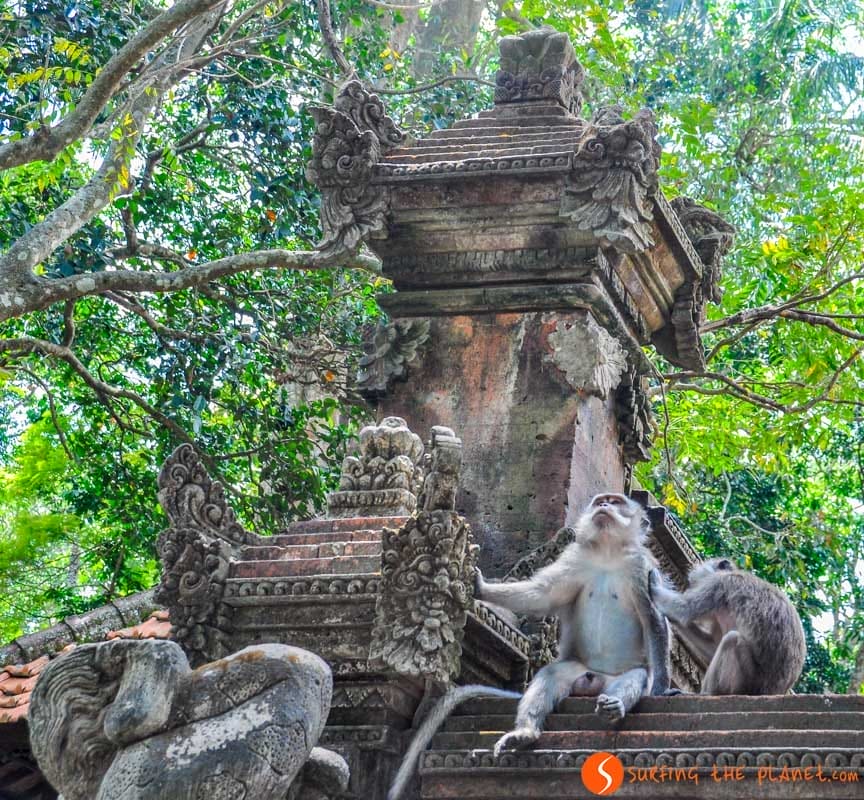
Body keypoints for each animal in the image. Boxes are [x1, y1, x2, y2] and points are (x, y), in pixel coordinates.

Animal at [387, 493, 670, 800]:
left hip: (616, 678)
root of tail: (593, 681)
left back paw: (613, 706)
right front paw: (481, 587)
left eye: (616, 501)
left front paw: (662, 687)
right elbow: (542, 594)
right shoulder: (575, 559)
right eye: (601, 501)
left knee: (634, 677)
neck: (608, 553)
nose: (604, 506)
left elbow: (653, 618)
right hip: (575, 670)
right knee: (550, 676)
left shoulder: (641, 567)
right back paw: (525, 733)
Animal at [650, 557, 806, 695]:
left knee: (731, 639)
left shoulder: (719, 584)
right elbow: (712, 647)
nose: (690, 586)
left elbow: (683, 612)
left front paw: (655, 584)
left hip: (748, 683)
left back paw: (707, 694)